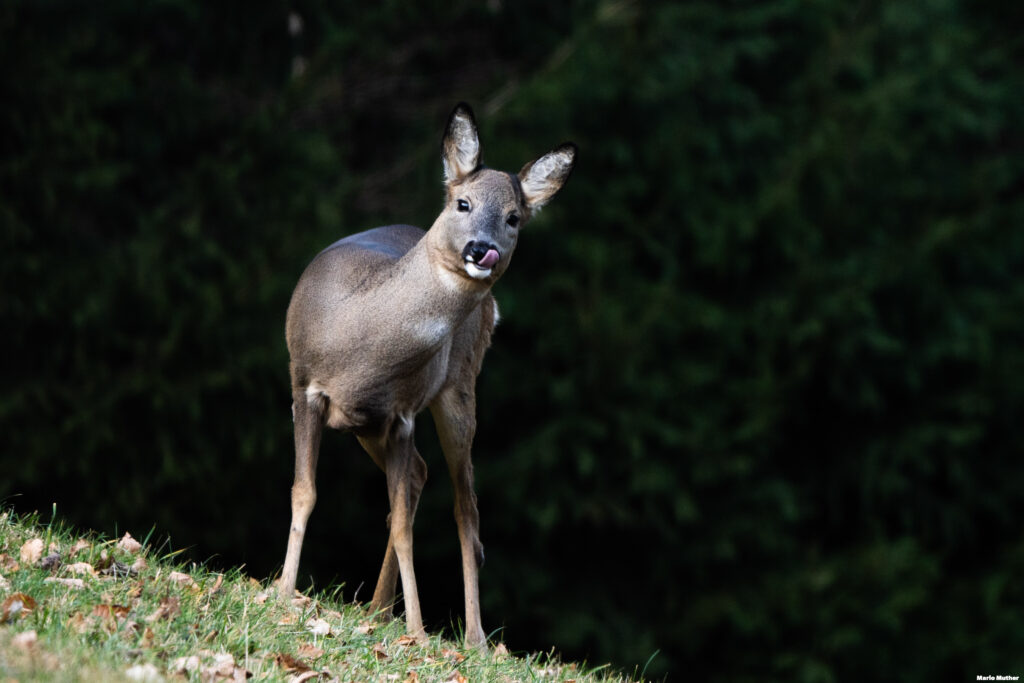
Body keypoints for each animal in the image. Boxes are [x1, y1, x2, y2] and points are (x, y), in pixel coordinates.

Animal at [276, 104, 577, 651]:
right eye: (463, 202)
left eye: (514, 217)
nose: (482, 249)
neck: (362, 339)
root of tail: (491, 310)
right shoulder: (304, 387)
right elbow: (305, 491)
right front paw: (282, 591)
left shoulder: (401, 416)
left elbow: (404, 526)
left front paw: (415, 629)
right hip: (367, 427)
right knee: (419, 476)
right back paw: (377, 609)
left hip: (458, 388)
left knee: (465, 508)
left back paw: (474, 637)